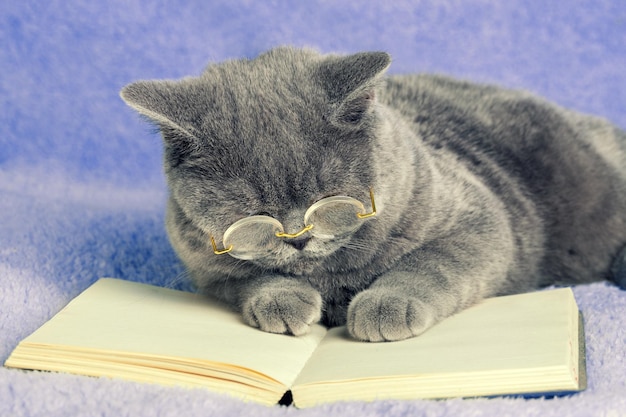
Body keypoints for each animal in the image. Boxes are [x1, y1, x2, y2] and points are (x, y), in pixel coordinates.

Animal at [120, 47, 624, 342]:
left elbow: (431, 262)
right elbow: (248, 279)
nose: (299, 239)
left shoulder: (478, 217)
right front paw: (283, 300)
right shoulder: (205, 269)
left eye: (331, 202)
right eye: (253, 220)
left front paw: (387, 305)